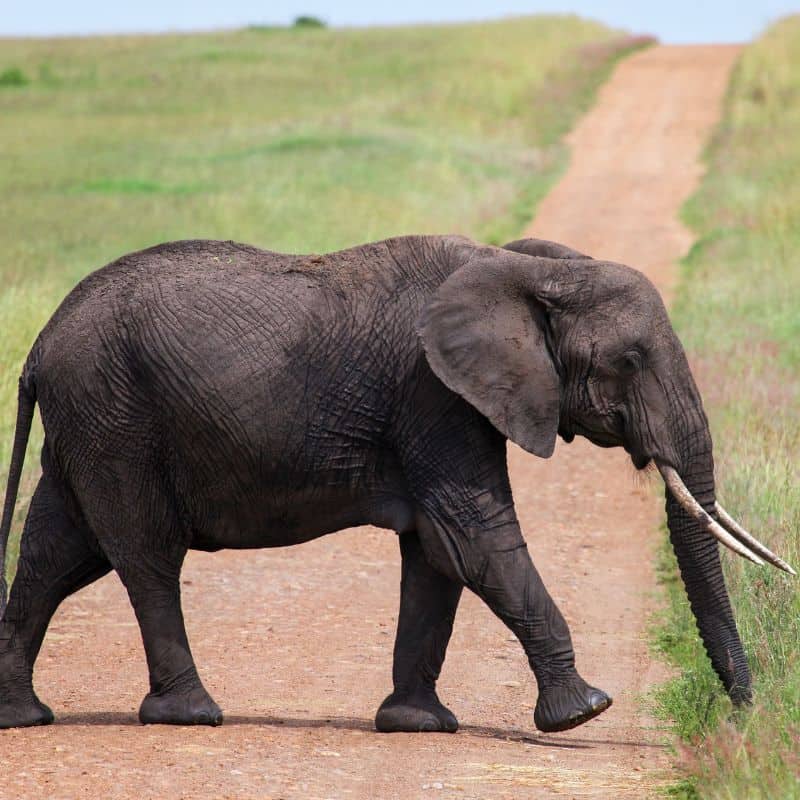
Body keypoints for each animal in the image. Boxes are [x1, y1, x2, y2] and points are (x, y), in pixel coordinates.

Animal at [0, 233, 792, 732]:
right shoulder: (433, 394)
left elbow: (438, 555)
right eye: (629, 360)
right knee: (145, 557)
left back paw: (22, 717)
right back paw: (192, 715)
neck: (520, 269)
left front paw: (417, 725)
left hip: (90, 421)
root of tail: (40, 342)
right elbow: (476, 539)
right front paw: (585, 711)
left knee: (55, 556)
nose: (740, 718)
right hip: (115, 419)